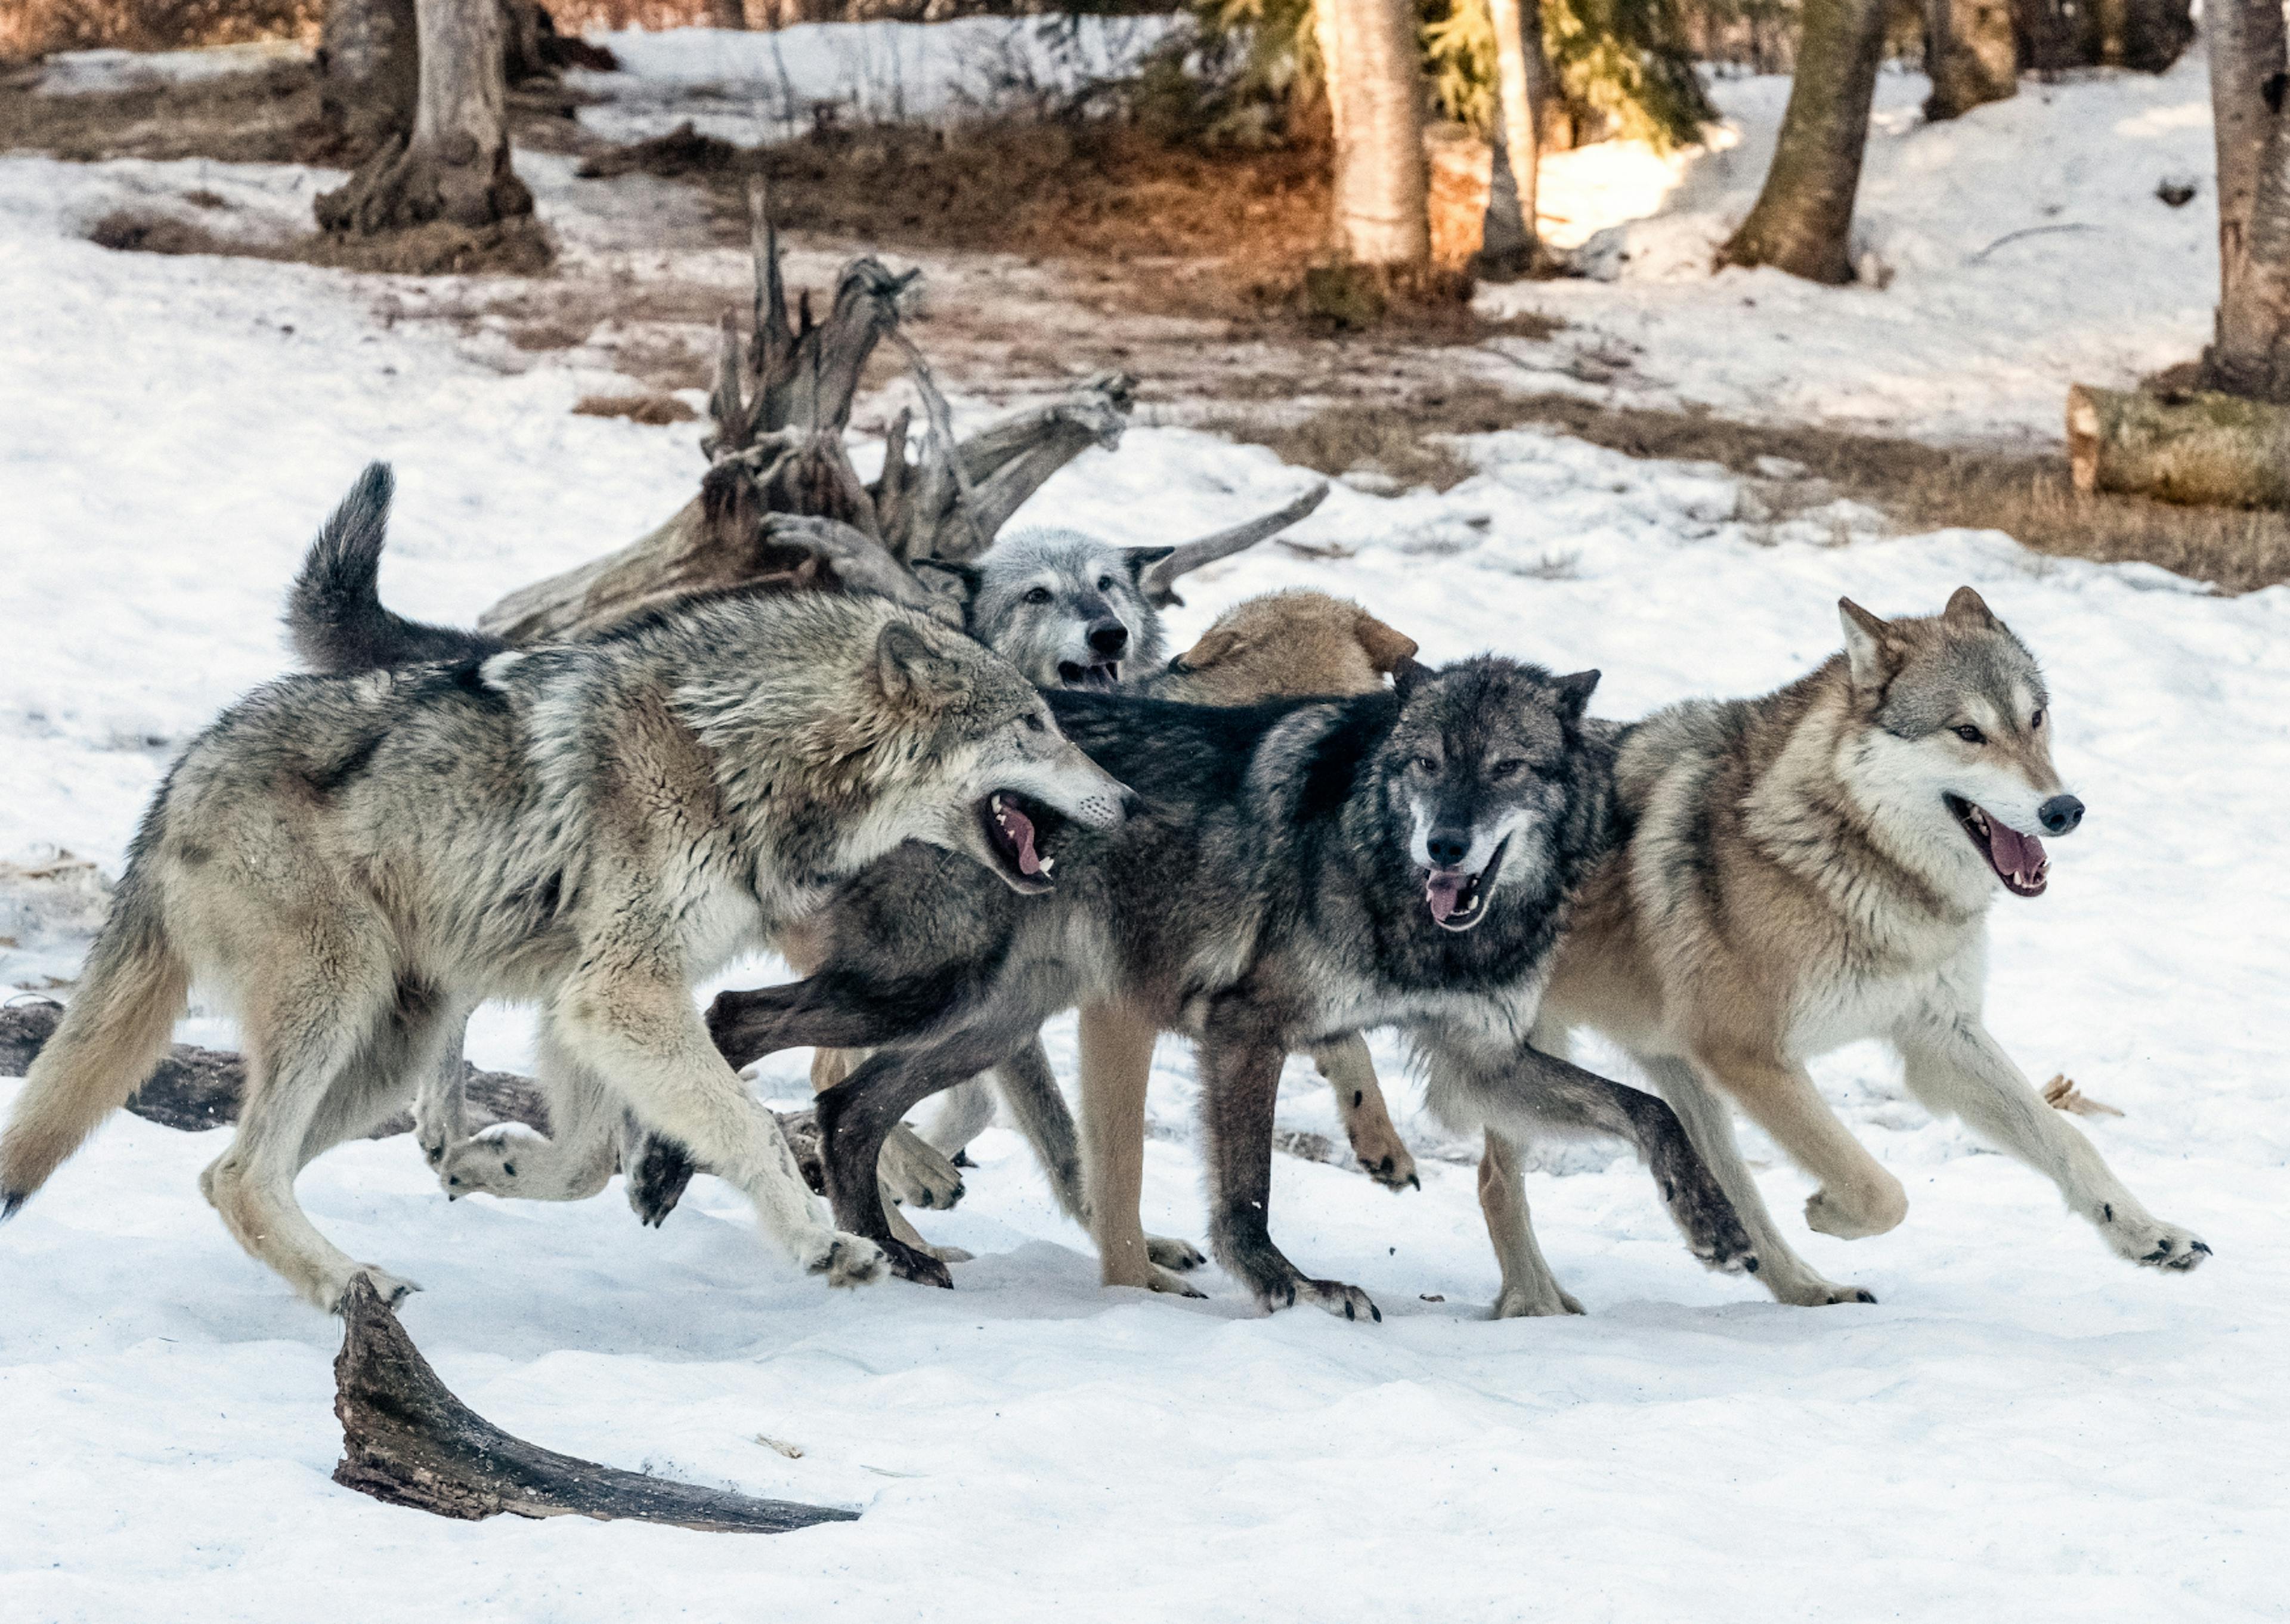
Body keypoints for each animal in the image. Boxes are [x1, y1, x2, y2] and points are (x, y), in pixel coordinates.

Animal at [0, 464, 1135, 1301]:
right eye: (1035, 726)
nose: (1127, 799)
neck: (734, 751)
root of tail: (175, 783)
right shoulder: (621, 991)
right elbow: (748, 1126)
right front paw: (822, 1246)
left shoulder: (584, 999)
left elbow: (589, 1159)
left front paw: (494, 1165)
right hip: (339, 996)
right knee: (239, 1171)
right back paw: (352, 1282)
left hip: (387, 1040)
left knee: (228, 1169)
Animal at [710, 655, 1749, 1319]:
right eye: (1426, 764)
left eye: (1505, 768)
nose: (1446, 846)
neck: (1387, 873)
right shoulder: (1248, 1028)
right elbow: (1248, 1188)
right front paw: (1294, 1285)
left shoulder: (1478, 1063)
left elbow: (1651, 1109)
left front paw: (1715, 1225)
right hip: (919, 991)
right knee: (734, 1023)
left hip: (983, 1022)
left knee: (848, 1108)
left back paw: (893, 1254)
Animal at [1530, 581, 2207, 1301]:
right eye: (1968, 732)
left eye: (2035, 718)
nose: (2064, 810)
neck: (1848, 855)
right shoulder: (1749, 1055)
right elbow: (1882, 1190)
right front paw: (1826, 1210)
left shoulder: (1941, 1036)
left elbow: (2070, 1141)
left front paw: (2149, 1234)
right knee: (1498, 1186)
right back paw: (1537, 1302)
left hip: (1678, 1077)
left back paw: (1805, 1289)